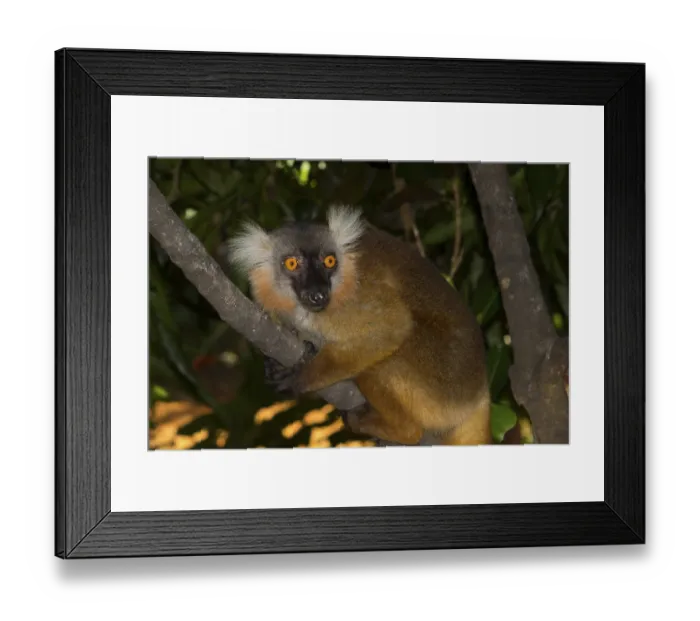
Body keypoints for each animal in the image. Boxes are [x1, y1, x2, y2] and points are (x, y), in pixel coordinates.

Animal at [227, 206, 492, 446]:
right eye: (292, 263)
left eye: (329, 261)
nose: (318, 294)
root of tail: (480, 393)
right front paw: (284, 359)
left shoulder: (353, 298)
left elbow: (394, 325)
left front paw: (300, 378)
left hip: (444, 387)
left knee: (379, 367)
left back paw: (398, 430)